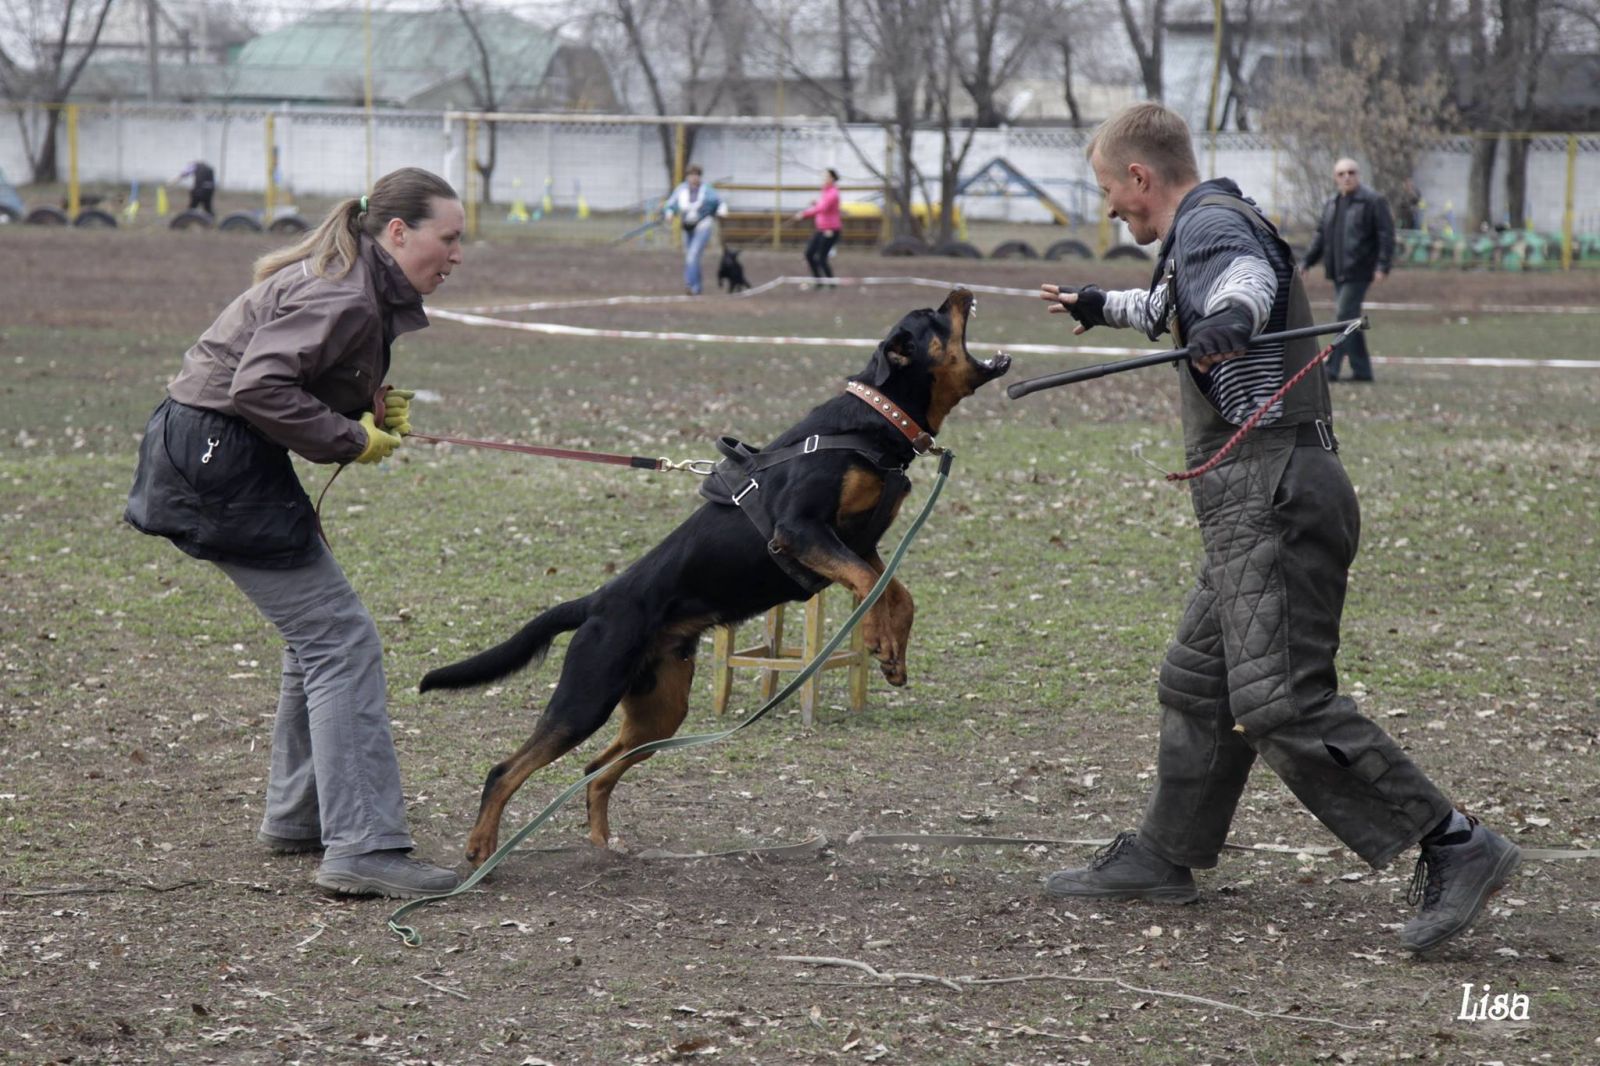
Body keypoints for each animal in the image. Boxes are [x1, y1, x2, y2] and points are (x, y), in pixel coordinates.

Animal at [420, 289, 1010, 866]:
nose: (961, 290)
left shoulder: (862, 545)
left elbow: (898, 594)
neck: (870, 422)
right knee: (505, 770)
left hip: (661, 712)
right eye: (933, 314)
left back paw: (605, 845)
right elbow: (872, 587)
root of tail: (599, 601)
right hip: (586, 698)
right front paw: (877, 639)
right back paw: (481, 852)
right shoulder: (801, 531)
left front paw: (894, 654)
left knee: (593, 770)